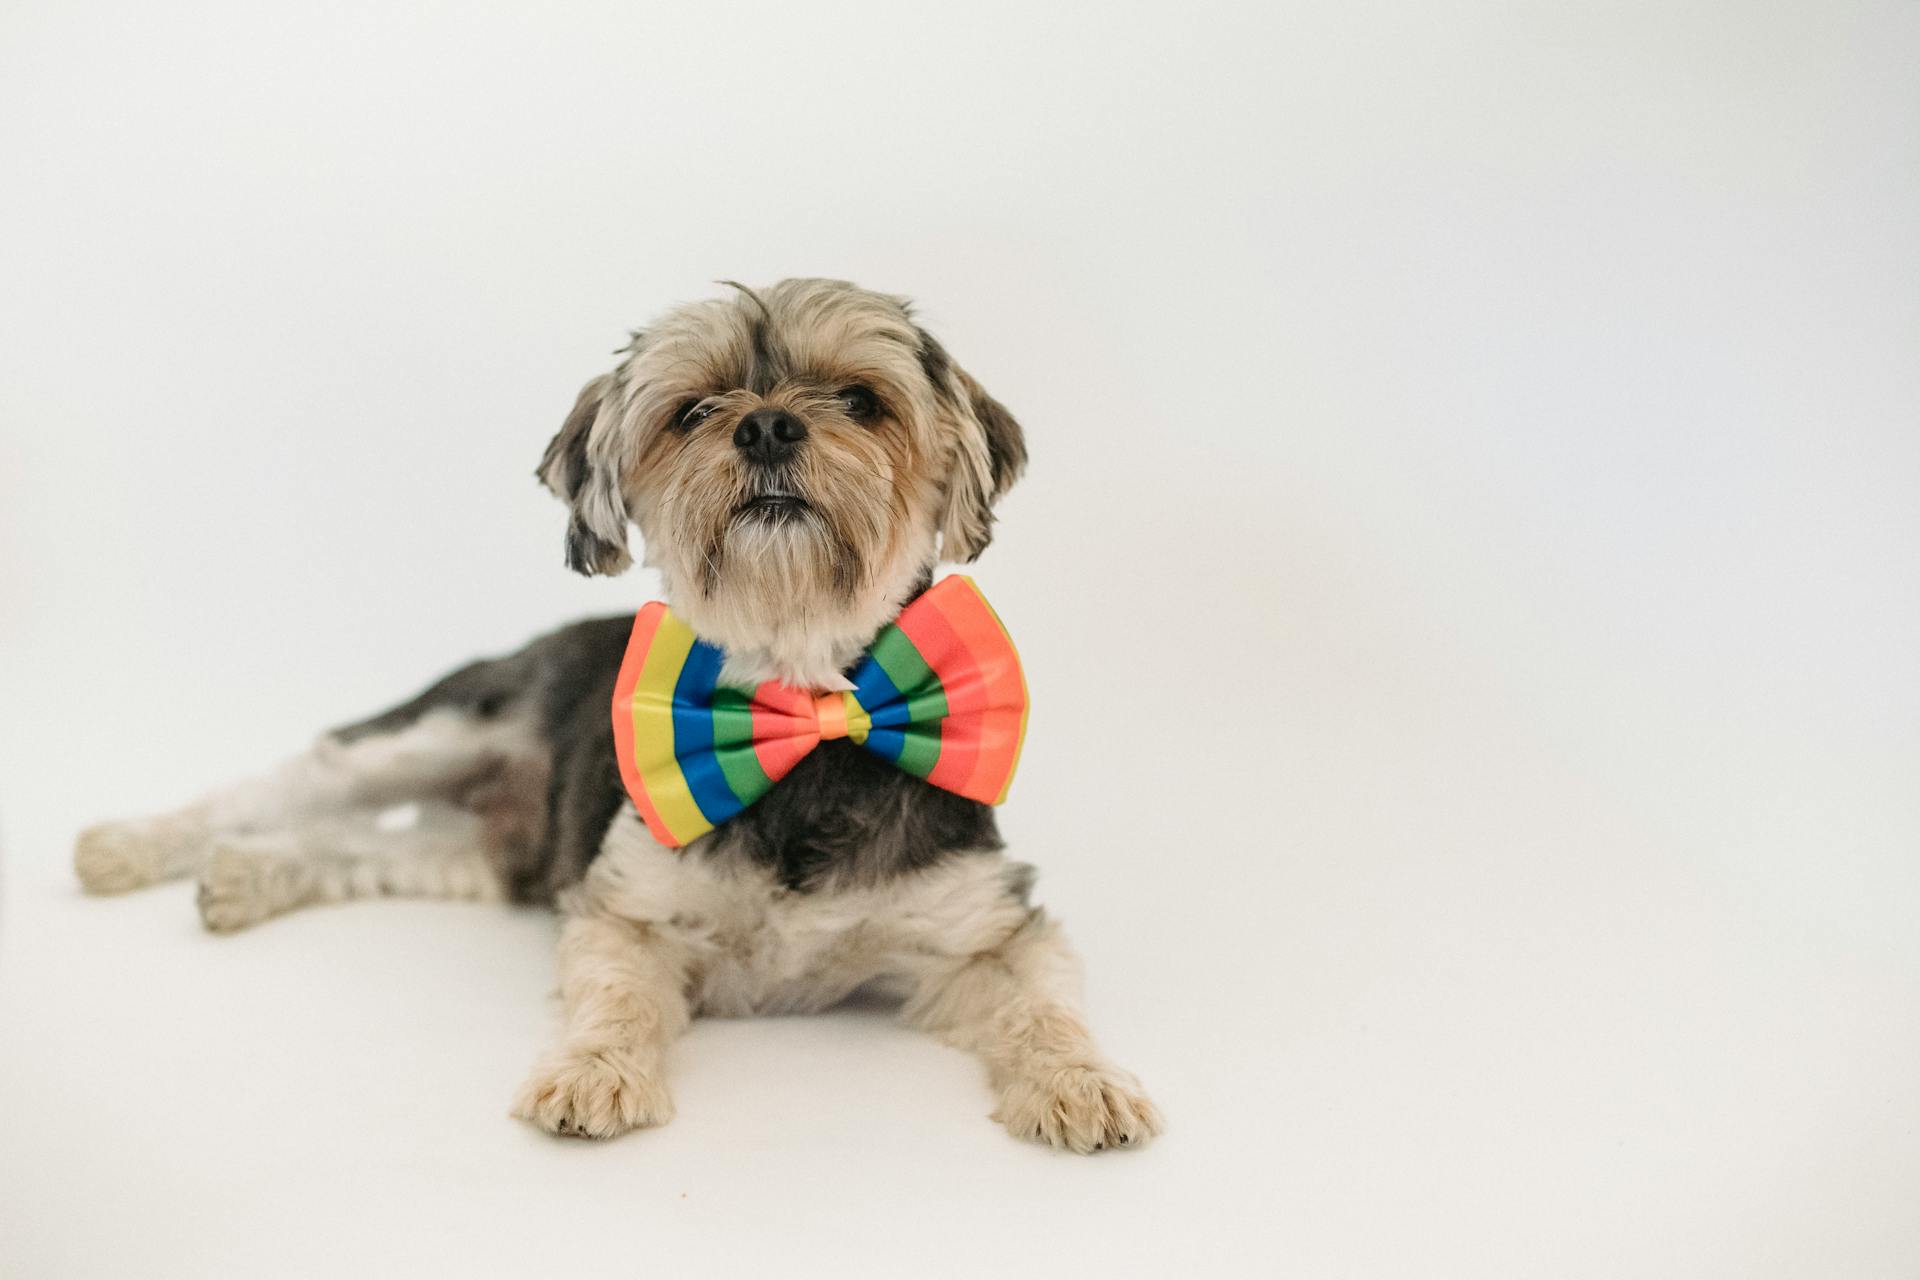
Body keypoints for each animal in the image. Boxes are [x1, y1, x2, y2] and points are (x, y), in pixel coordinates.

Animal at [74, 278, 1159, 1151]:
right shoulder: (624, 903)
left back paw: (246, 878)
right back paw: (127, 845)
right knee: (282, 786)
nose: (768, 425)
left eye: (862, 400)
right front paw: (592, 1073)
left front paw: (1084, 1082)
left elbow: (1045, 1001)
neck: (802, 711)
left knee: (362, 848)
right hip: (446, 725)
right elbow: (617, 994)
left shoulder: (989, 923)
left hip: (502, 856)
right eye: (693, 409)